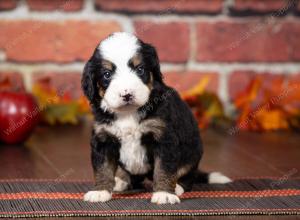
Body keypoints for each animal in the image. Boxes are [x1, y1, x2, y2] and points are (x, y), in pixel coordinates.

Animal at [81, 31, 231, 204]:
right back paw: (121, 180)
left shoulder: (164, 138)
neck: (128, 113)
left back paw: (177, 187)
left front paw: (164, 193)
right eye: (107, 74)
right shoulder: (103, 138)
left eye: (140, 69)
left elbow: (164, 169)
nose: (127, 94)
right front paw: (100, 191)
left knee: (187, 176)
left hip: (193, 154)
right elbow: (102, 168)